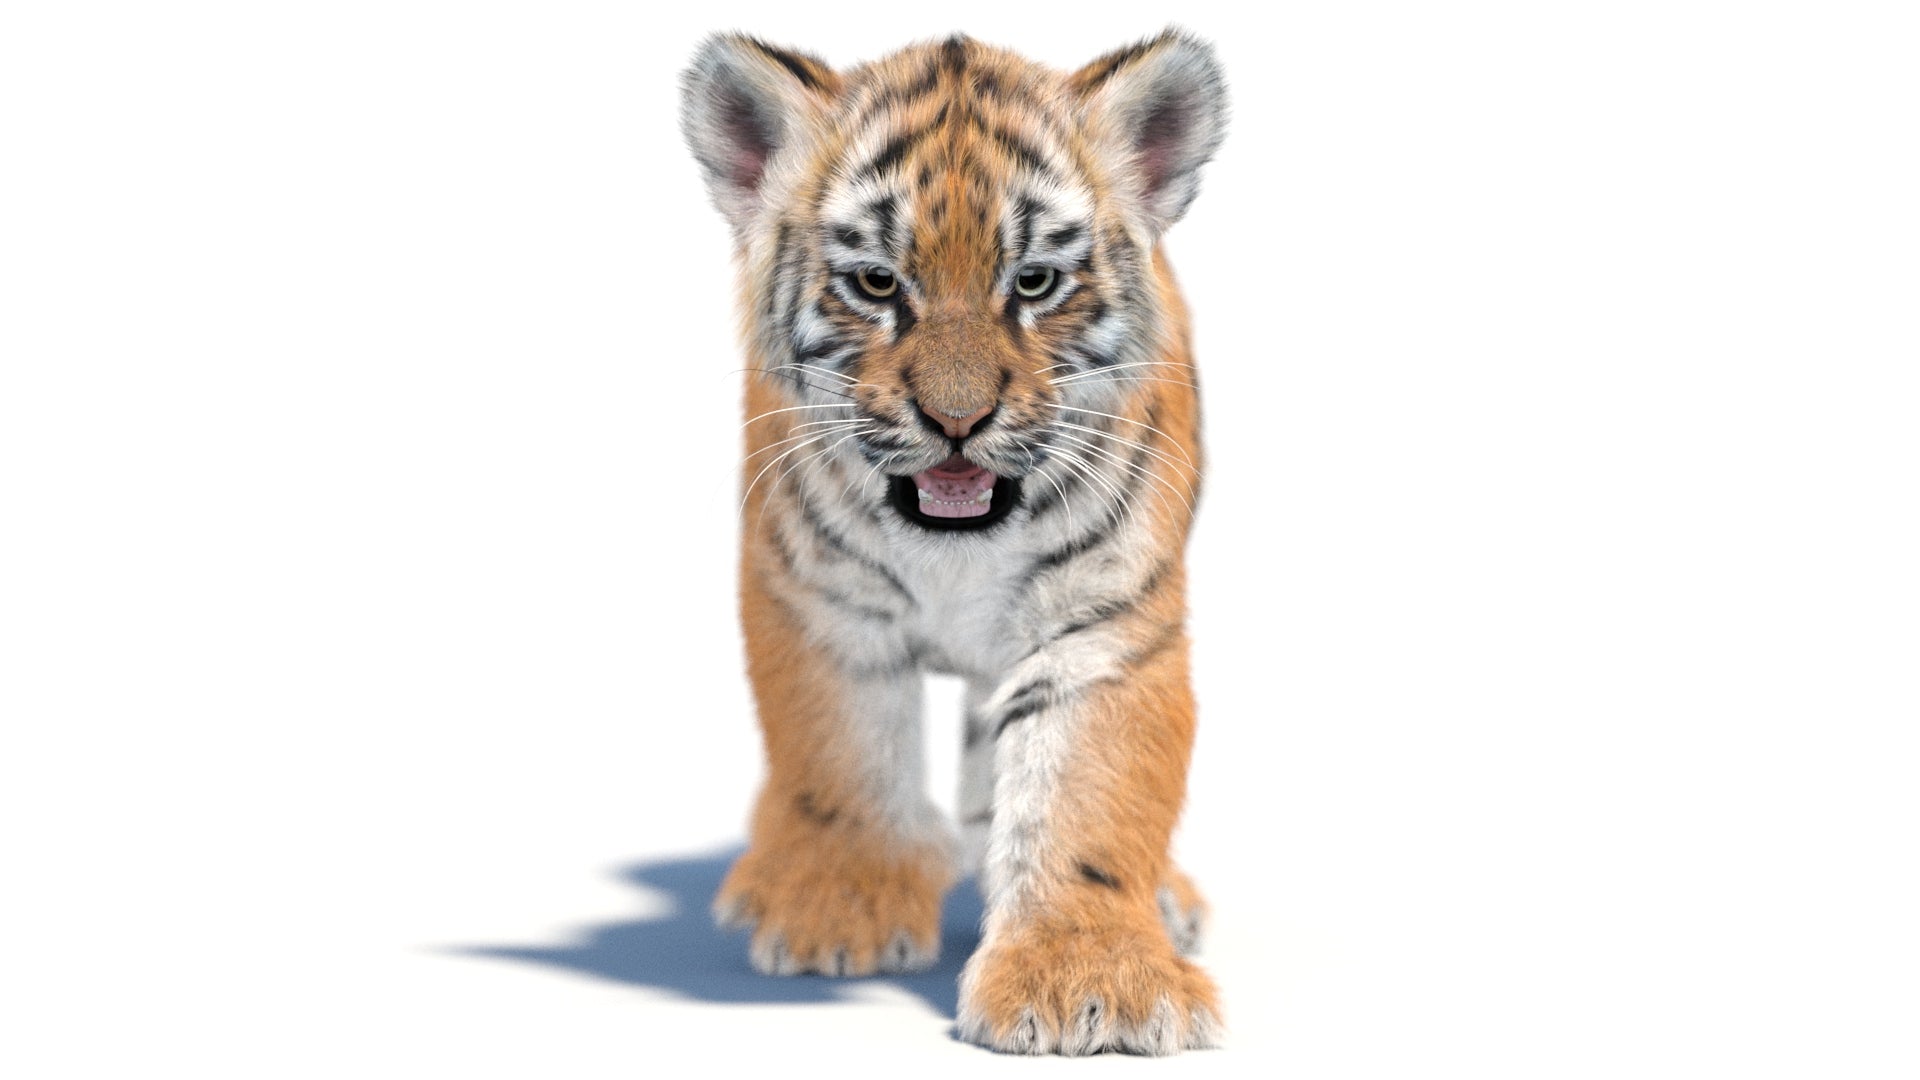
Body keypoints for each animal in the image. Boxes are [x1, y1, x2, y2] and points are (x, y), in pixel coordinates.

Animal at [680, 29, 1228, 1055]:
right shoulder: (823, 605)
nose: (957, 421)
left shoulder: (1099, 631)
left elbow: (1085, 799)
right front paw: (837, 913)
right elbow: (840, 755)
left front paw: (1088, 984)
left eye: (1034, 282)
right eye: (878, 283)